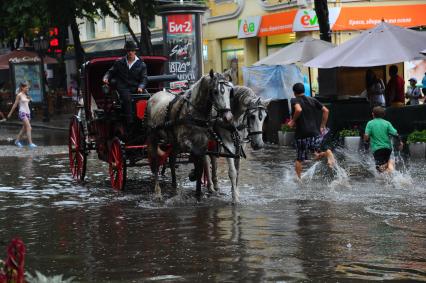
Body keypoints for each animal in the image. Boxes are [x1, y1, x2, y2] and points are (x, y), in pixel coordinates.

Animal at [146, 70, 233, 200]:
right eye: (215, 91)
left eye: (229, 91)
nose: (228, 117)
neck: (194, 112)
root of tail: (154, 95)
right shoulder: (186, 143)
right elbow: (197, 163)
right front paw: (194, 176)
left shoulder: (202, 144)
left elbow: (201, 166)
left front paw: (198, 193)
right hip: (153, 137)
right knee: (156, 162)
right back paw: (157, 191)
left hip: (174, 142)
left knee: (172, 160)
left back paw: (174, 185)